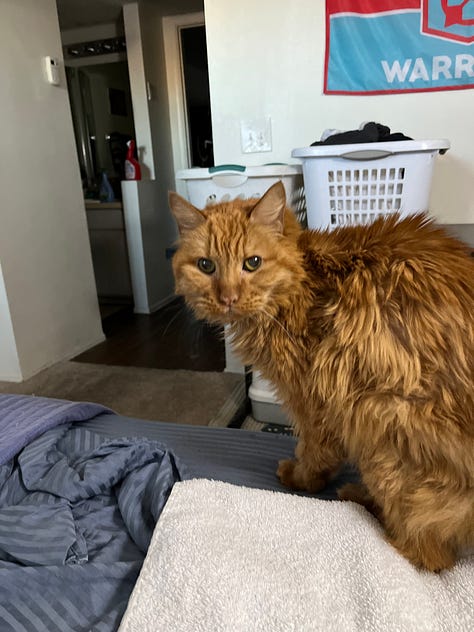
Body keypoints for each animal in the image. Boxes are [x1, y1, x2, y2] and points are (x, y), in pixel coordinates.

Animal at [169, 181, 474, 572]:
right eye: (206, 266)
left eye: (252, 263)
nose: (228, 298)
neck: (303, 284)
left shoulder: (314, 400)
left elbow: (314, 452)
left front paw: (301, 478)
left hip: (376, 415)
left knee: (426, 554)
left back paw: (361, 500)